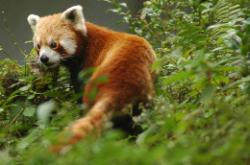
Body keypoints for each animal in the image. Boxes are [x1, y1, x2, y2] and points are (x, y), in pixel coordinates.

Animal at [27, 5, 156, 152]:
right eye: (38, 46)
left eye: (53, 44)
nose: (44, 58)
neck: (85, 43)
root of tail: (116, 88)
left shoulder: (86, 64)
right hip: (143, 98)